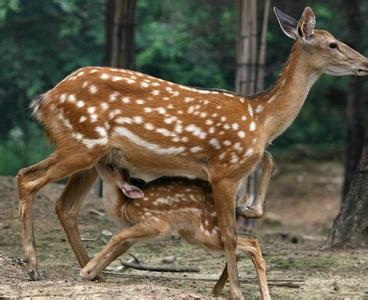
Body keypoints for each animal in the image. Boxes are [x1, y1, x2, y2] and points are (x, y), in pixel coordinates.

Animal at [18, 5, 368, 298]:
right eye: (333, 44)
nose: (365, 63)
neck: (262, 119)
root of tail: (43, 101)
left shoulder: (233, 172)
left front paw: (224, 285)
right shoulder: (225, 171)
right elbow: (230, 234)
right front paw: (236, 291)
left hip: (93, 156)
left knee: (66, 205)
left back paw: (92, 271)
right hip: (80, 143)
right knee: (27, 178)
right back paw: (34, 267)